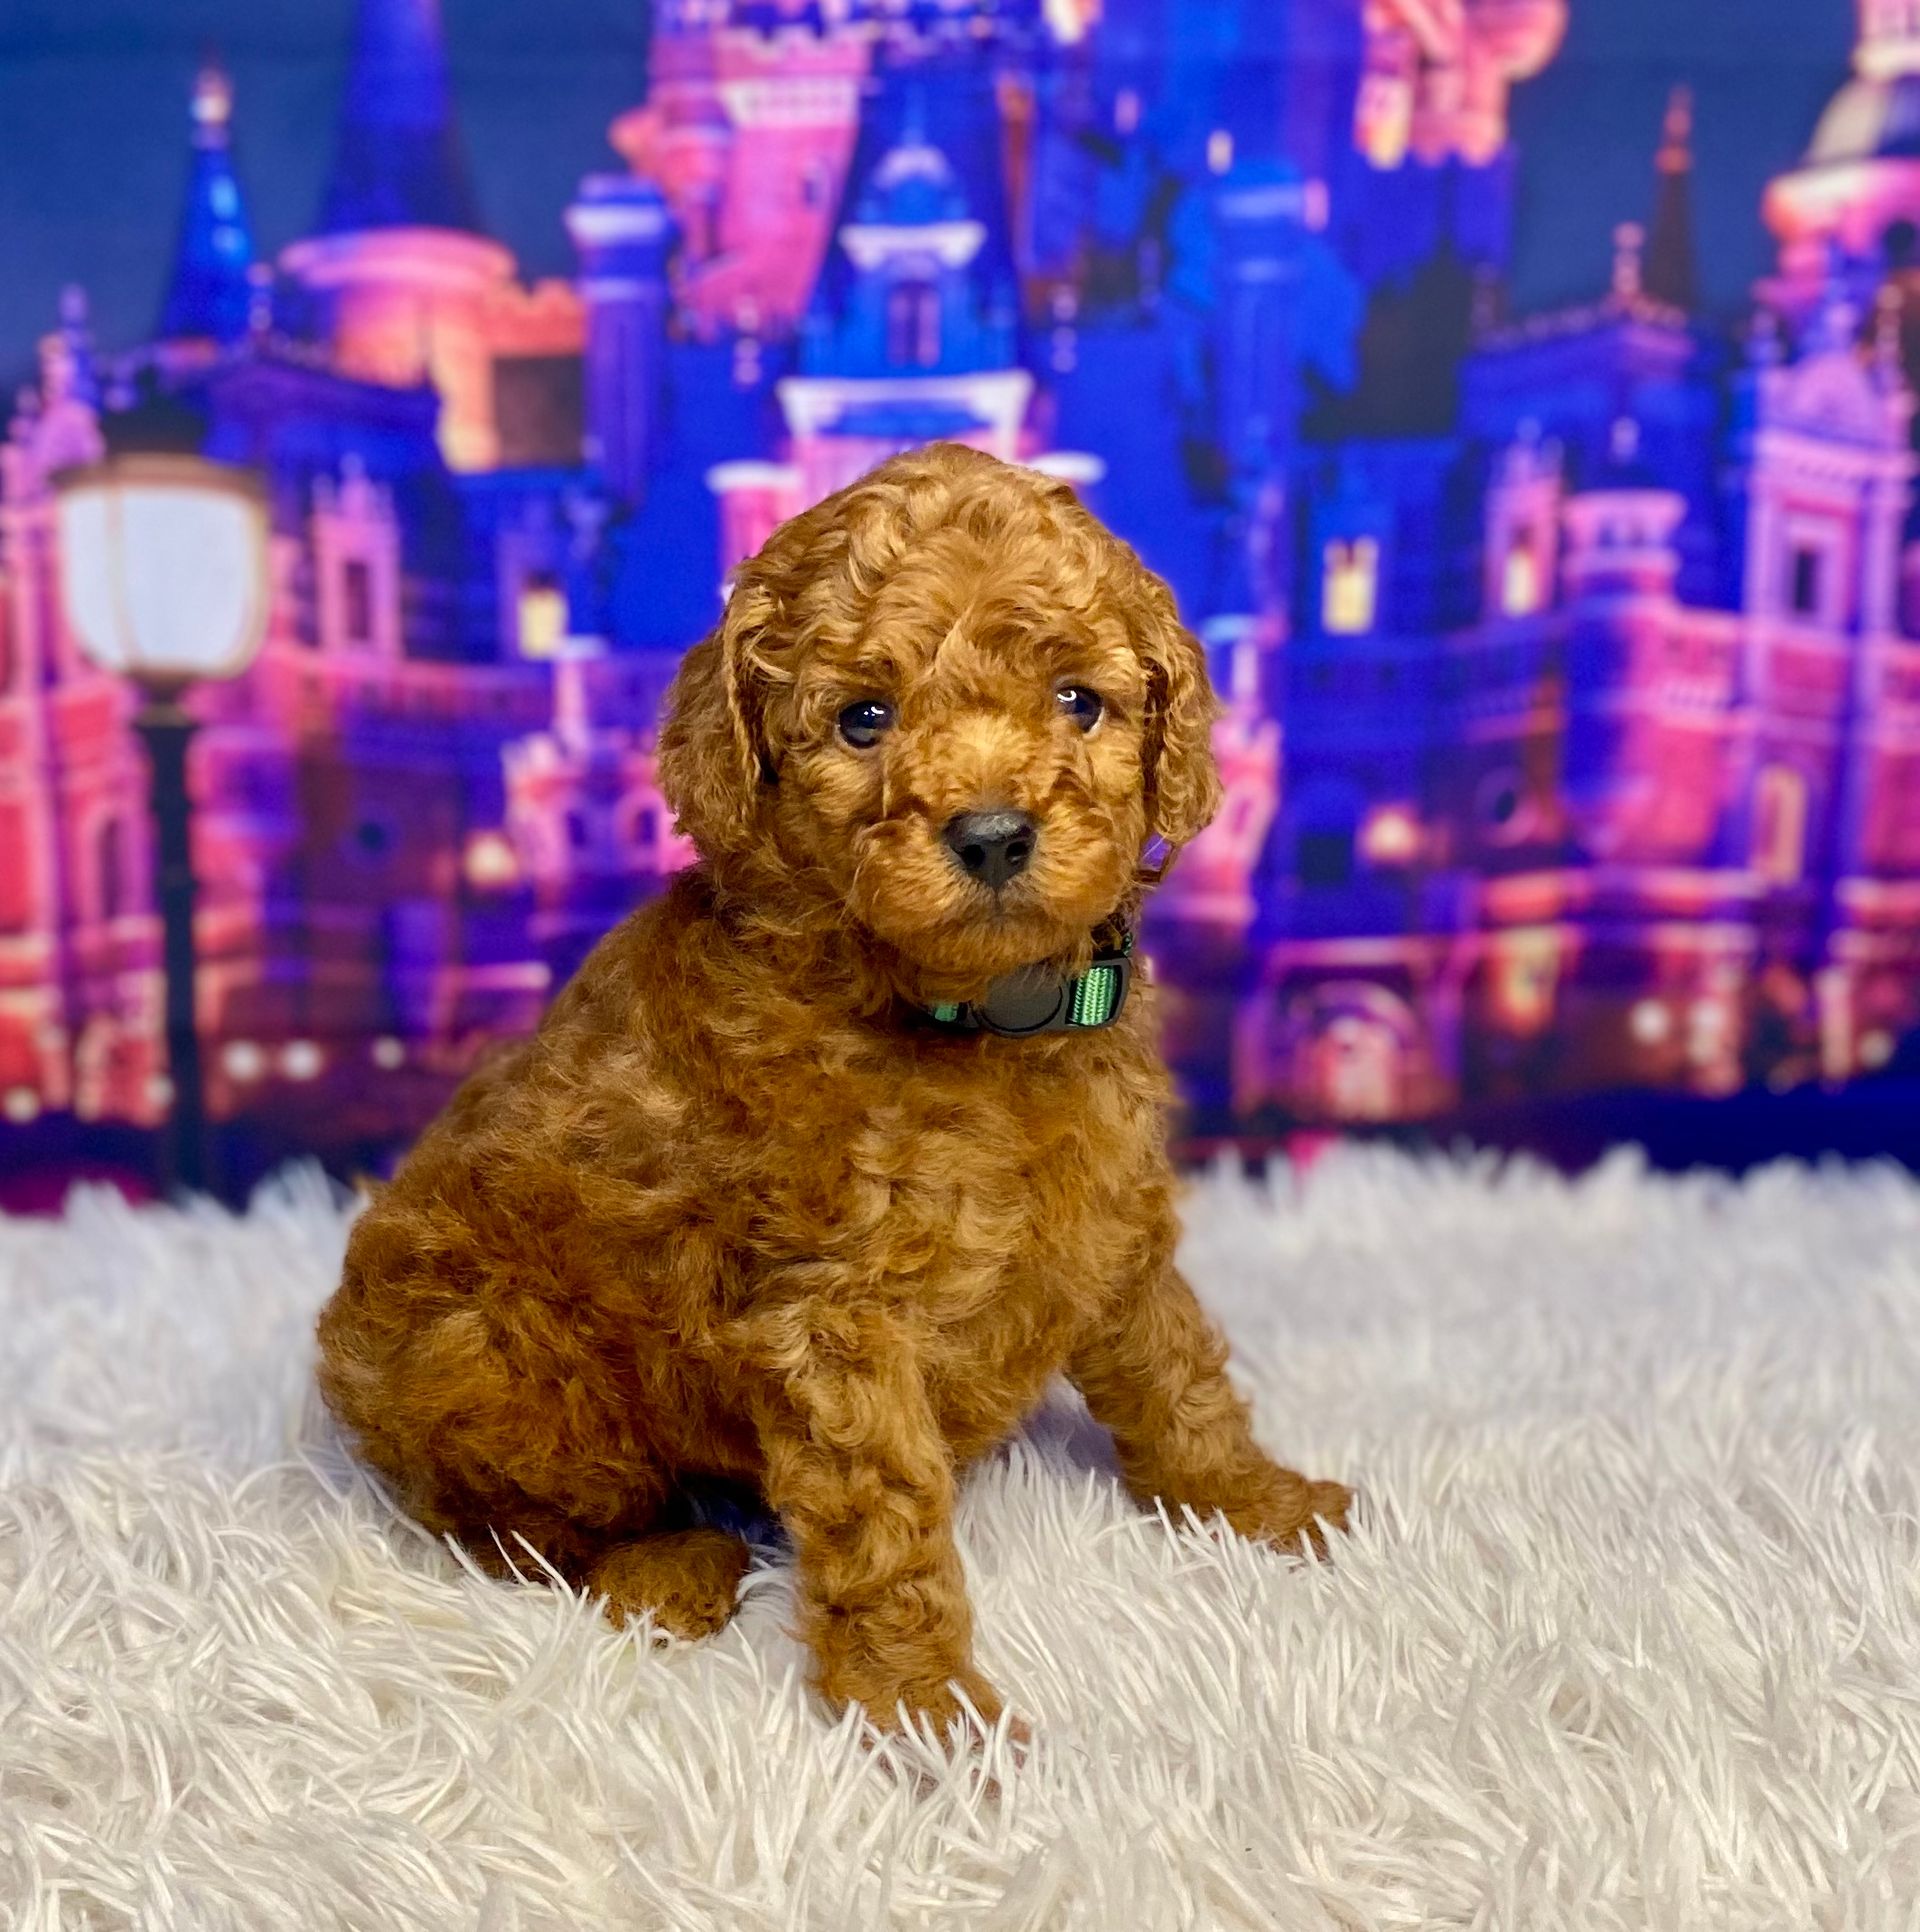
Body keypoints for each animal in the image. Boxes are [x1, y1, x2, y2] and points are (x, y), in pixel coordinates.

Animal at [314, 442, 1344, 1738]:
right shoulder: (830, 1314)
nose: (993, 834)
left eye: (1078, 701)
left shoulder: (1113, 1221)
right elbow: (885, 1515)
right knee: (511, 1528)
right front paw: (924, 1712)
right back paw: (666, 1565)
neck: (970, 1018)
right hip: (481, 1353)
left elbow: (1180, 1372)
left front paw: (1260, 1503)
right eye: (866, 719)